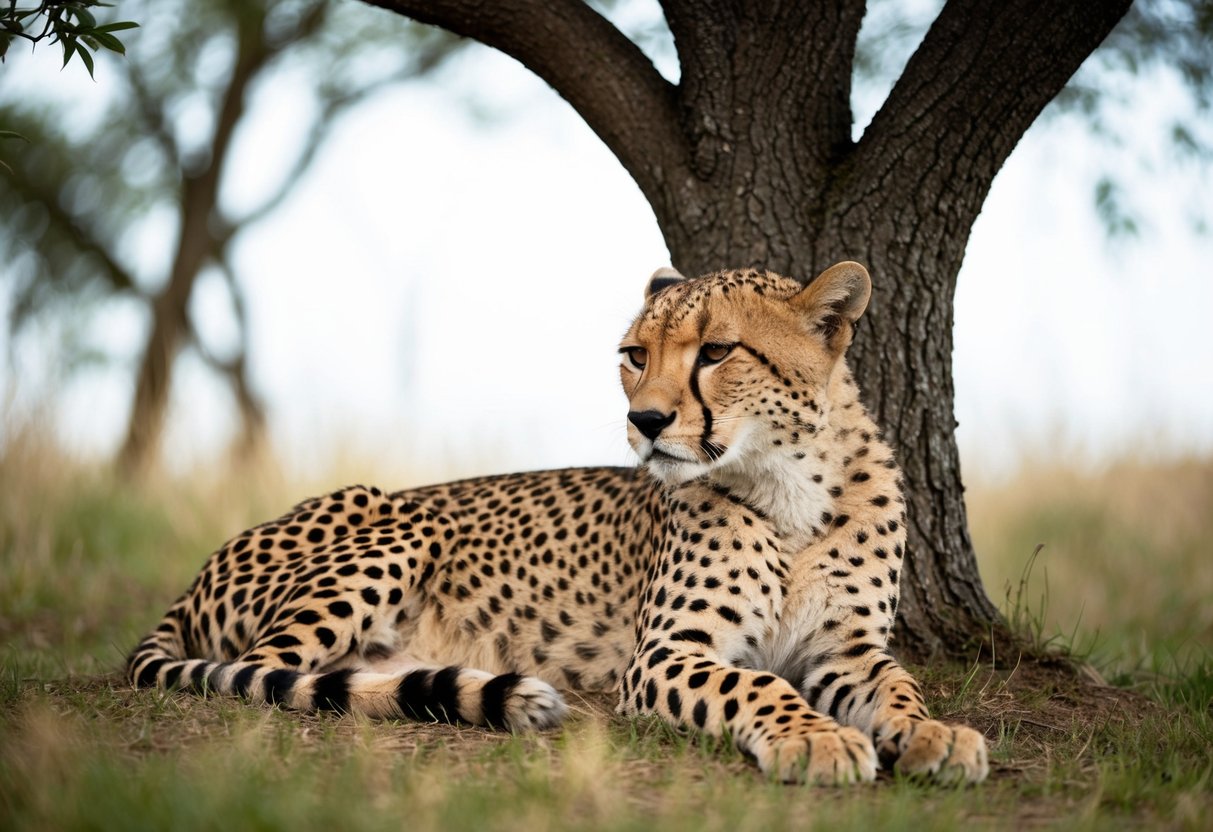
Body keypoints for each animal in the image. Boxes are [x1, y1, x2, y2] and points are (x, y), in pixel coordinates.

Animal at [127, 261, 988, 785]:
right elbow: (755, 683)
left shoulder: (844, 649)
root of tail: (202, 572)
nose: (645, 421)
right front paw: (814, 736)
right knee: (273, 675)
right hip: (398, 522)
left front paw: (932, 733)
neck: (788, 485)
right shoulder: (666, 654)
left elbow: (899, 685)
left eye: (716, 351)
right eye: (634, 354)